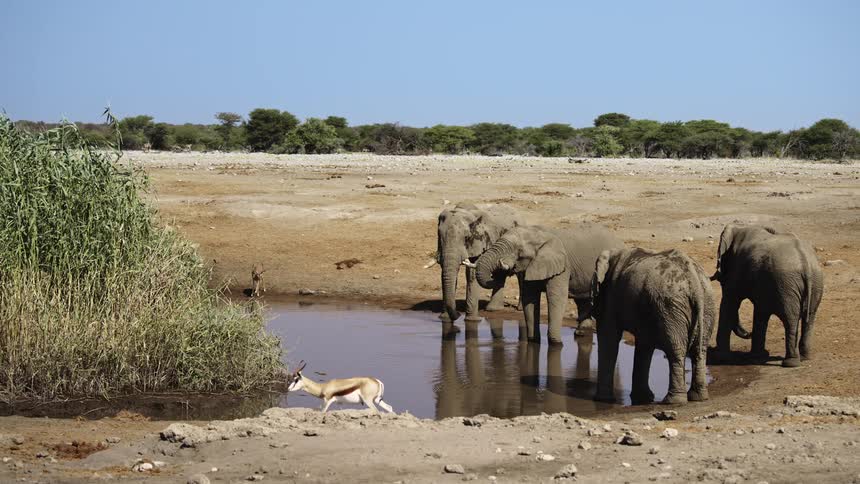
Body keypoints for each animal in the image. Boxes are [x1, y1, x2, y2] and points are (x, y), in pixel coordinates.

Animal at [473, 224, 624, 346]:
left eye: (518, 250)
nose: (502, 265)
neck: (538, 233)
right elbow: (530, 299)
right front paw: (533, 341)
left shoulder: (562, 266)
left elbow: (556, 298)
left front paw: (556, 344)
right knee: (582, 299)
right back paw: (581, 333)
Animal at [591, 247, 716, 404]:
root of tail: (694, 279)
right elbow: (644, 344)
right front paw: (643, 398)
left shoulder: (611, 295)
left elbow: (609, 337)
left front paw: (601, 400)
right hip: (705, 304)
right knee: (700, 350)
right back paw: (698, 397)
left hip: (670, 306)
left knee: (676, 349)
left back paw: (673, 400)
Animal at [711, 223, 824, 367]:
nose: (748, 333)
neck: (740, 227)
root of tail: (806, 263)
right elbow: (760, 312)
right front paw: (759, 356)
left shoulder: (737, 270)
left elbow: (729, 302)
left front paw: (721, 358)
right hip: (814, 283)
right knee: (809, 319)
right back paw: (804, 358)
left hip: (787, 285)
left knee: (790, 320)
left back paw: (790, 363)